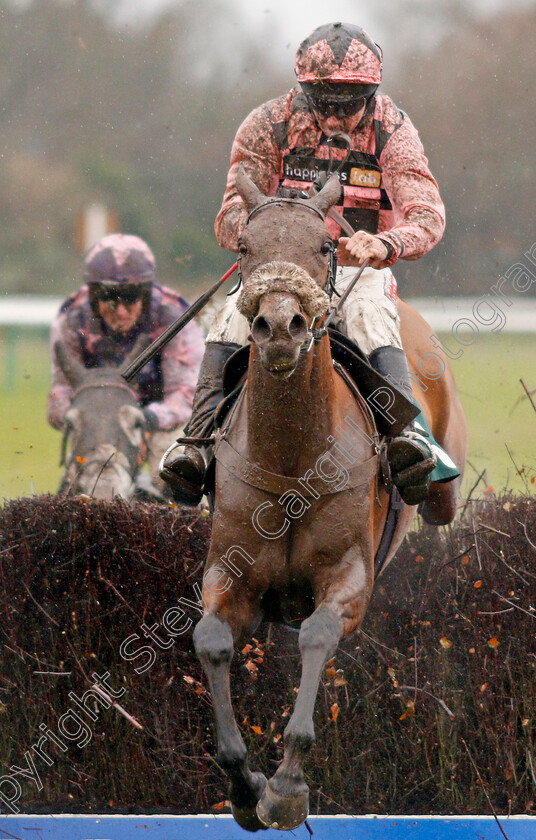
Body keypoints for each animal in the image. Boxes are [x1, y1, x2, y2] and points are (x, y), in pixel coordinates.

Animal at [193, 167, 468, 832]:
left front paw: (287, 788)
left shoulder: (350, 579)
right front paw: (245, 786)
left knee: (442, 499)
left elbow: (318, 634)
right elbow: (210, 641)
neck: (293, 457)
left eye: (324, 245)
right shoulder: (231, 577)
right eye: (245, 247)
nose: (279, 326)